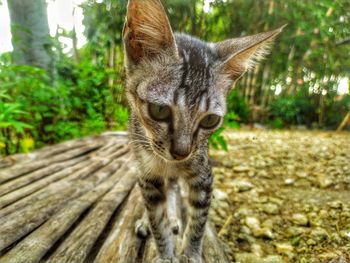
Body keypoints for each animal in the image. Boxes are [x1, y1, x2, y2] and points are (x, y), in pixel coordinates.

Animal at [123, 0, 284, 263]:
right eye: (159, 110)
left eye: (210, 120)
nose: (181, 152)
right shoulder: (148, 174)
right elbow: (157, 220)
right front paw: (165, 253)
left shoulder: (203, 173)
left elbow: (198, 220)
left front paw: (191, 253)